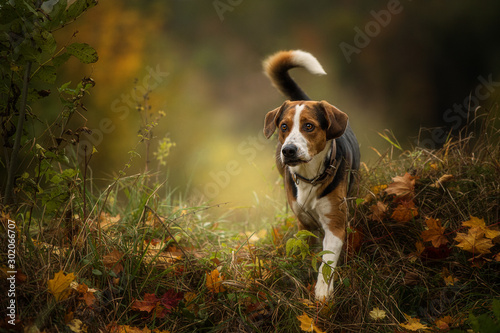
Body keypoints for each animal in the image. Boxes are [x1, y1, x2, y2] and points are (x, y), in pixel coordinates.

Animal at [262, 50, 360, 300]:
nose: (288, 150)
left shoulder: (335, 223)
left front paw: (323, 293)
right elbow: (306, 251)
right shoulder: (304, 223)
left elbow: (327, 261)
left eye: (308, 126)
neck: (310, 177)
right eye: (283, 126)